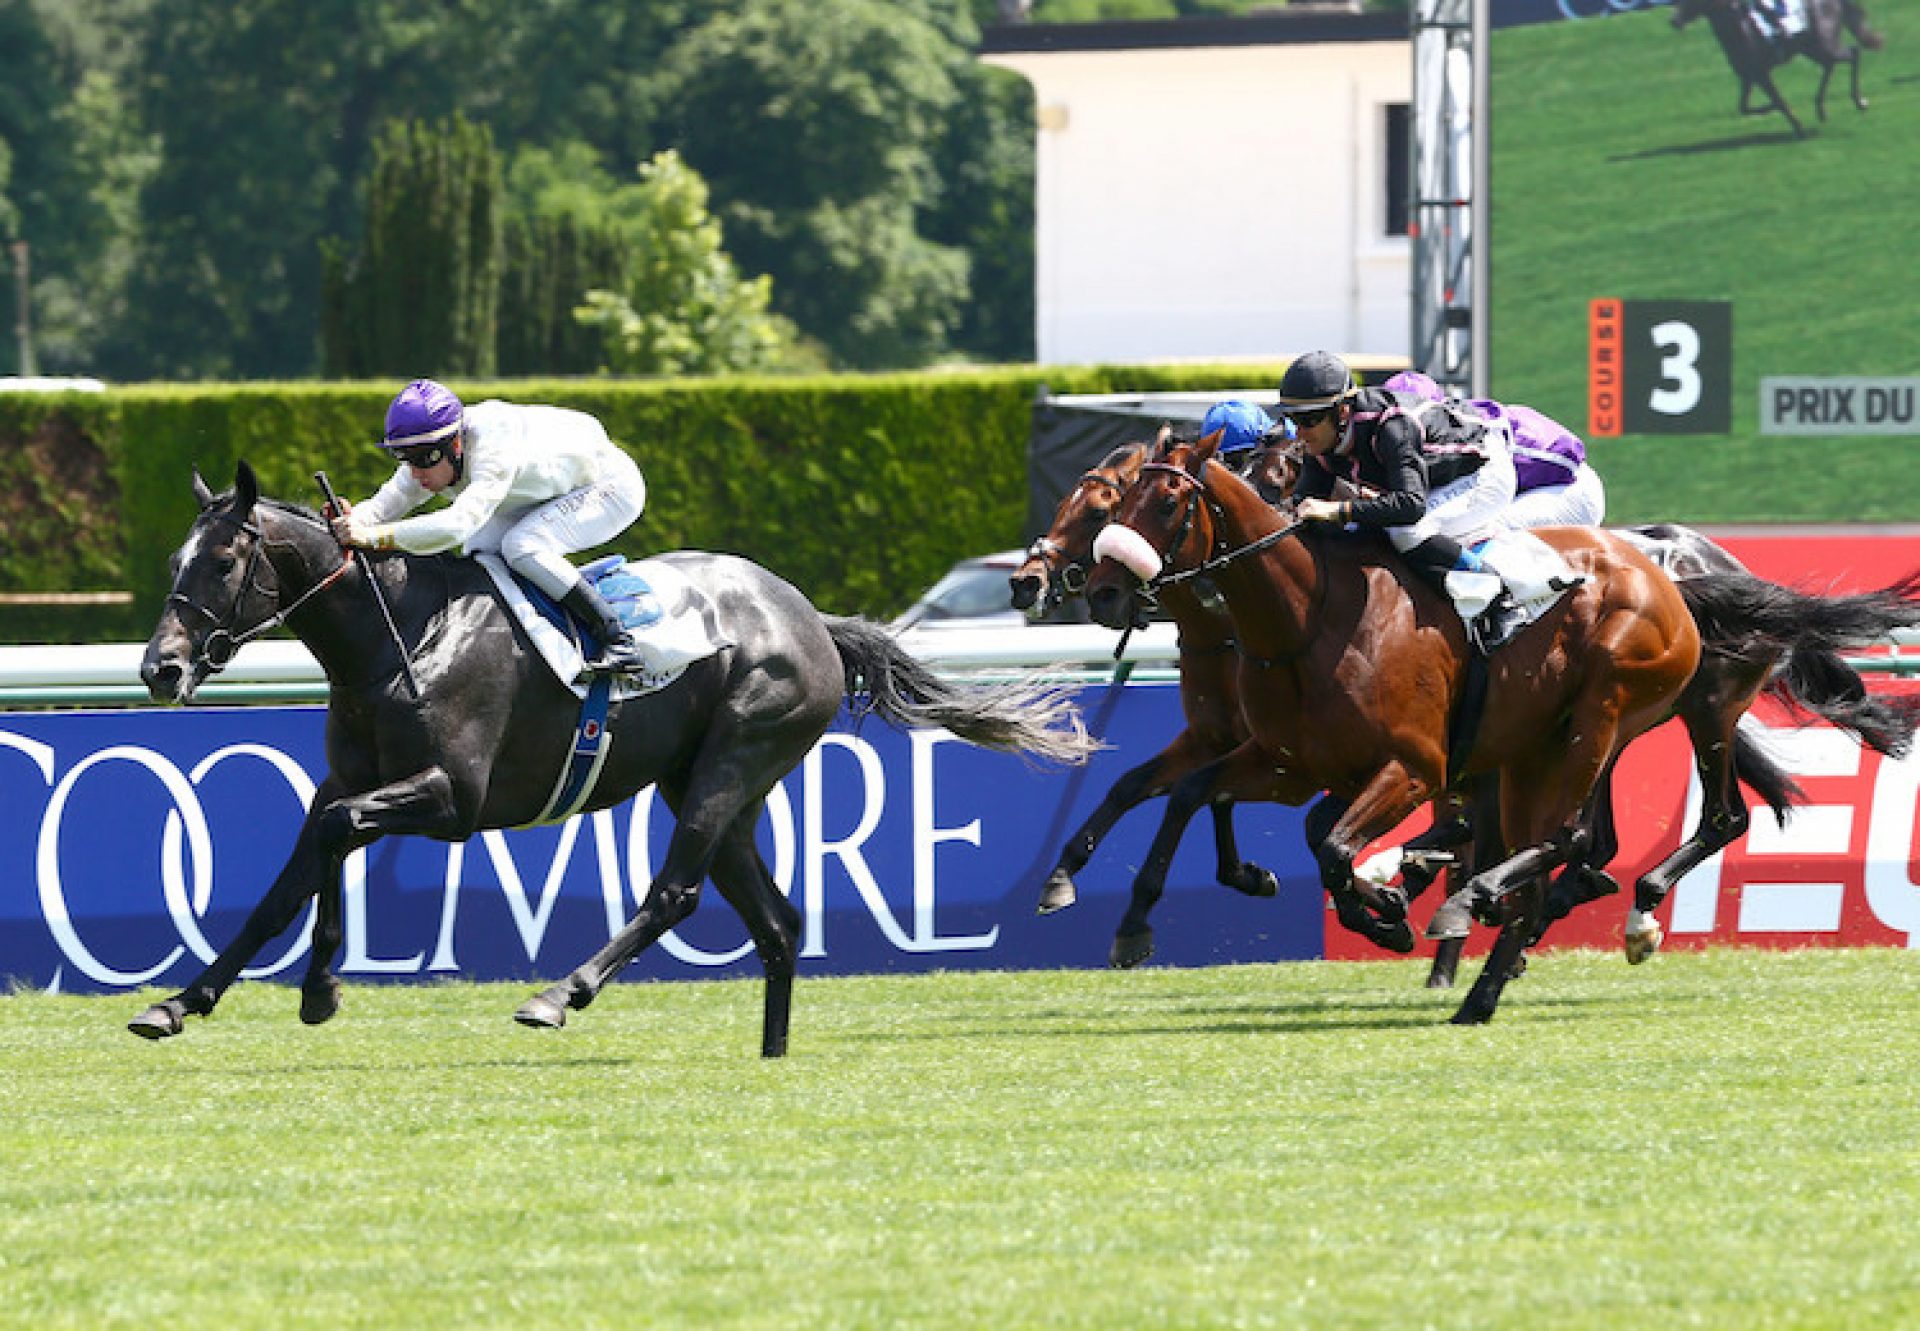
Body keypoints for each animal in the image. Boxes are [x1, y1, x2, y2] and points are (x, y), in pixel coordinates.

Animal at [131, 462, 1098, 1052]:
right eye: (176, 555)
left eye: (224, 559)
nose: (159, 667)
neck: (400, 635)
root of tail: (810, 616)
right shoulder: (354, 777)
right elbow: (293, 874)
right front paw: (185, 1000)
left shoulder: (453, 798)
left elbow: (335, 833)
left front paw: (318, 982)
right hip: (713, 783)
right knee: (777, 920)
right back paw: (773, 1051)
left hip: (735, 758)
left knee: (676, 891)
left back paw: (559, 993)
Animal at [1090, 430, 1704, 1021]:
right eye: (1122, 499)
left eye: (1168, 502)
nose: (1103, 591)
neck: (1310, 619)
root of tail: (1661, 575)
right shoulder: (1287, 765)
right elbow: (1196, 793)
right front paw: (1134, 925)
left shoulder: (1414, 769)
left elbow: (1335, 850)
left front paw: (1388, 907)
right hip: (1532, 753)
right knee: (1536, 869)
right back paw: (1480, 994)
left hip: (1599, 717)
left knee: (1569, 838)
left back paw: (1473, 902)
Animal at [1674, 0, 1881, 137]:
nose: (1673, 21)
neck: (1738, 26)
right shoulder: (1748, 76)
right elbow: (1744, 107)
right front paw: (1770, 109)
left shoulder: (1761, 74)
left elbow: (1778, 101)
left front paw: (1796, 125)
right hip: (1812, 48)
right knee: (1831, 65)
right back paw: (1821, 109)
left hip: (1825, 44)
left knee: (1853, 53)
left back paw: (1859, 102)